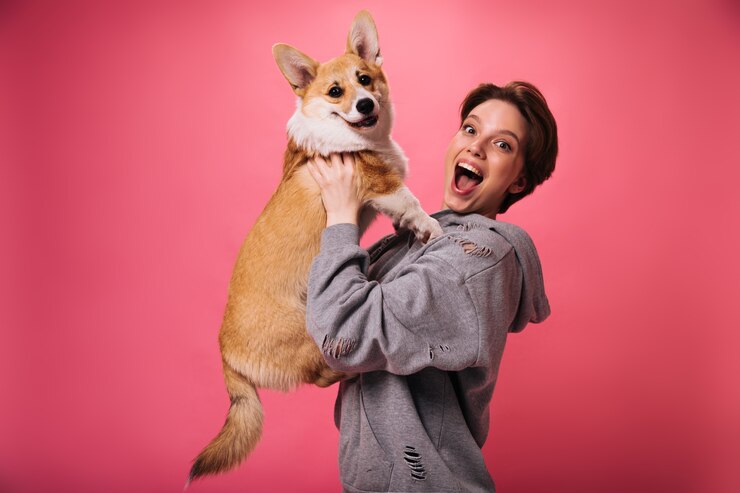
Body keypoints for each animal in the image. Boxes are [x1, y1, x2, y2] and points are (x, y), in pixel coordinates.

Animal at [188, 9, 442, 482]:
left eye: (365, 79)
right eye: (335, 91)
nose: (366, 105)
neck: (364, 138)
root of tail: (225, 355)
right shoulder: (384, 188)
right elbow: (414, 205)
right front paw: (433, 229)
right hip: (312, 333)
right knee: (324, 374)